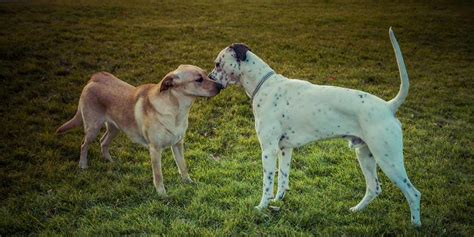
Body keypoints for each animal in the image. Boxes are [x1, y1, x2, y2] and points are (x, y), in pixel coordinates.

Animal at [57, 65, 222, 194]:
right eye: (198, 79)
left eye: (206, 75)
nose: (220, 86)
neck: (176, 110)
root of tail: (95, 77)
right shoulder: (155, 149)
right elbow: (158, 175)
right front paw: (161, 193)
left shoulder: (178, 144)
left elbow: (183, 166)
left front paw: (188, 182)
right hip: (93, 128)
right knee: (84, 145)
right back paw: (83, 165)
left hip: (115, 128)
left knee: (103, 142)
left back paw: (110, 161)